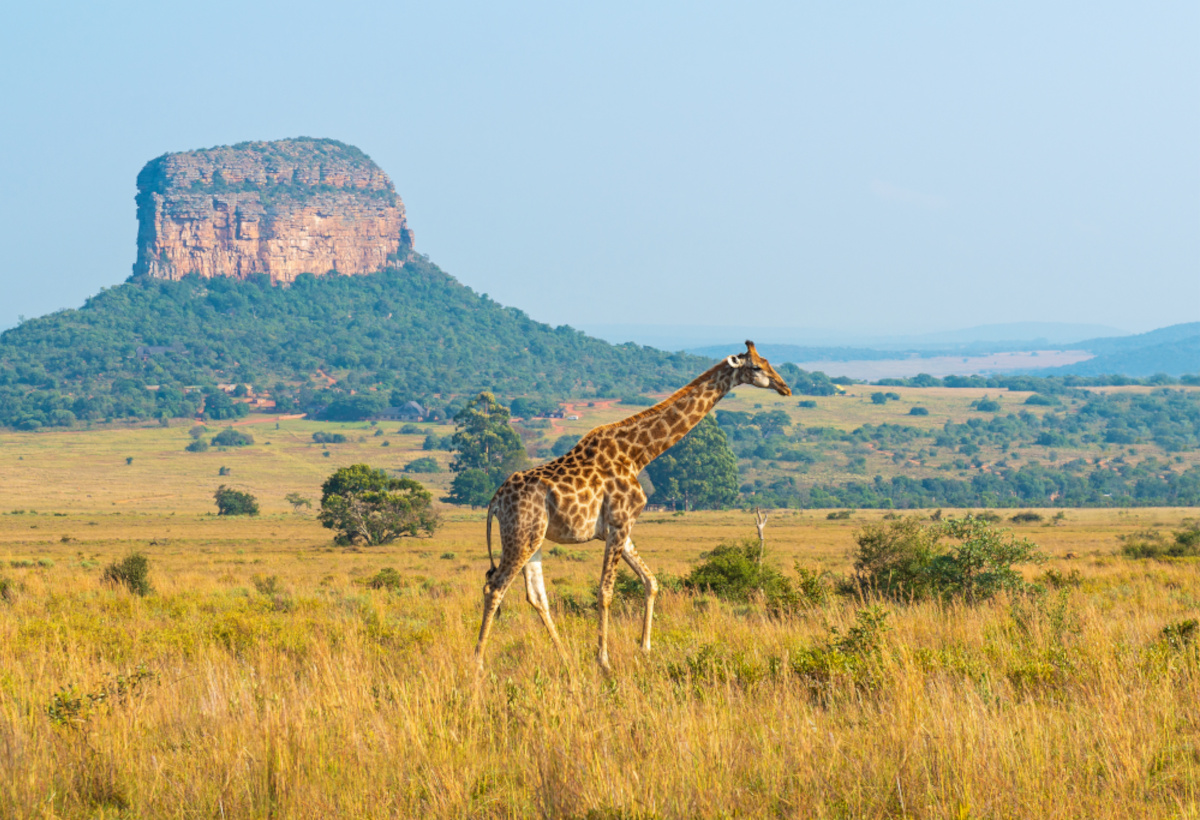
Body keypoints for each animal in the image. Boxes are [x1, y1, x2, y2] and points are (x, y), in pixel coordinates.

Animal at [472, 340, 792, 672]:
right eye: (755, 366)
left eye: (767, 361)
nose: (785, 387)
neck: (638, 454)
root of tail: (495, 500)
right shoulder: (619, 524)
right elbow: (605, 591)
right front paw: (603, 660)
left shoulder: (621, 529)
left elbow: (650, 581)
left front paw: (645, 648)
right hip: (521, 535)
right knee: (495, 587)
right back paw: (478, 662)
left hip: (534, 538)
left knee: (536, 596)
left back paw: (566, 658)